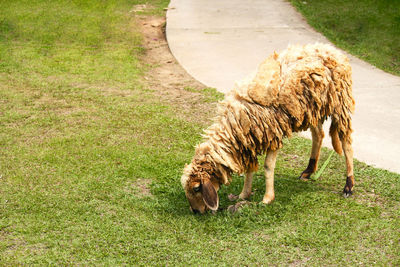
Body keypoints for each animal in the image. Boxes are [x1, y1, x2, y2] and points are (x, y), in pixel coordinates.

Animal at [180, 44, 354, 216]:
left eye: (196, 188)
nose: (195, 211)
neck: (234, 126)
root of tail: (329, 48)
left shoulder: (272, 134)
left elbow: (268, 167)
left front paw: (267, 198)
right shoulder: (249, 142)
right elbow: (250, 169)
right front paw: (244, 194)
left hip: (340, 101)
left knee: (346, 142)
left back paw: (349, 185)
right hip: (312, 108)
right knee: (319, 135)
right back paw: (309, 170)